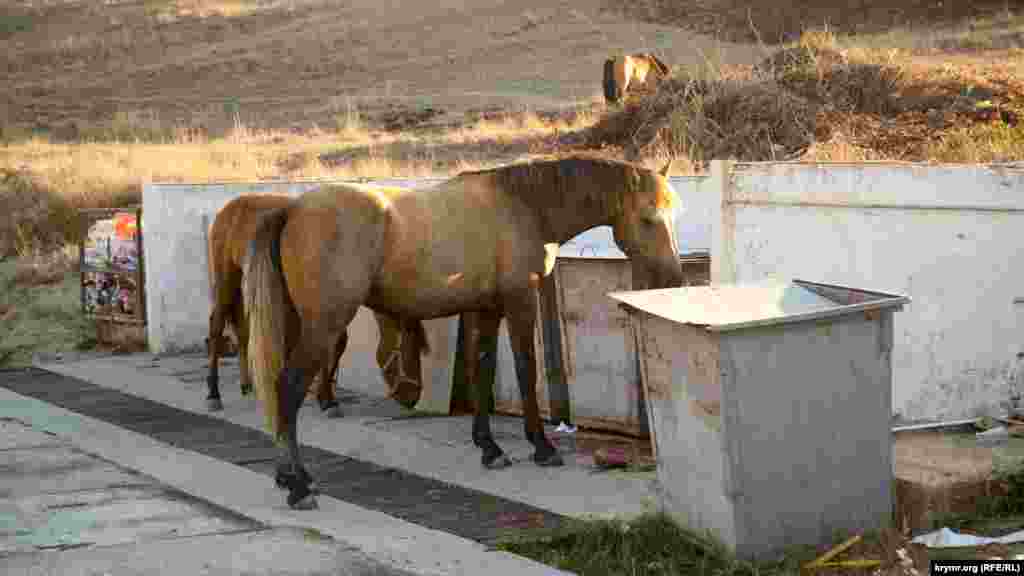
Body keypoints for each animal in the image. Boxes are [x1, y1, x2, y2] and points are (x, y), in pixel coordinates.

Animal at [203, 193, 428, 416]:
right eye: (408, 349)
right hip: (226, 280)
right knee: (216, 326)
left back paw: (247, 385)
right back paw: (214, 395)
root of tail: (228, 208)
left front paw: (323, 396)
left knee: (242, 330)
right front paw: (323, 398)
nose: (413, 398)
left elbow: (337, 345)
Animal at [242, 153, 684, 506]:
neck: (523, 206)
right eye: (648, 218)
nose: (674, 278)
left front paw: (489, 447)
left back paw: (288, 475)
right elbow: (525, 369)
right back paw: (299, 485)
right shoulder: (519, 303)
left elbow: (482, 370)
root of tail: (292, 209)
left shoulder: (486, 310)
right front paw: (541, 446)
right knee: (288, 387)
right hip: (324, 325)